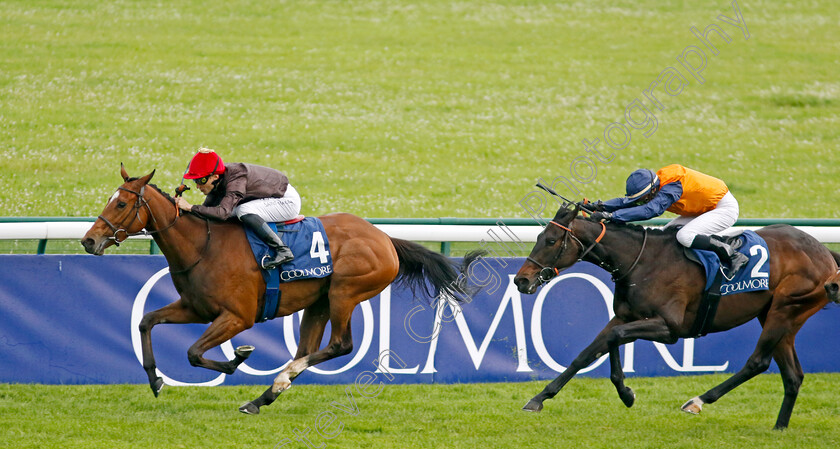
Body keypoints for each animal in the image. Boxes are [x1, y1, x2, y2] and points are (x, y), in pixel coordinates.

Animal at [82, 167, 476, 412]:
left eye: (121, 203)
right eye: (108, 200)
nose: (89, 240)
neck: (203, 246)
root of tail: (384, 238)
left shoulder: (237, 317)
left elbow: (194, 352)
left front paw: (237, 358)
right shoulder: (195, 307)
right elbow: (146, 321)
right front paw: (155, 380)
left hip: (345, 293)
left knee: (340, 345)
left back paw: (278, 381)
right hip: (319, 301)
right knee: (309, 348)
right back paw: (264, 396)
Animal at [512, 203, 840, 428]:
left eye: (551, 241)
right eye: (538, 236)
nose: (521, 280)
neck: (641, 261)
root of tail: (824, 252)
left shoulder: (669, 329)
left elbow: (613, 338)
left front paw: (625, 391)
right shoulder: (625, 316)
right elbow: (592, 350)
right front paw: (540, 398)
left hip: (785, 311)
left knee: (757, 362)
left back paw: (698, 401)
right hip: (777, 315)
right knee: (793, 376)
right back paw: (779, 427)